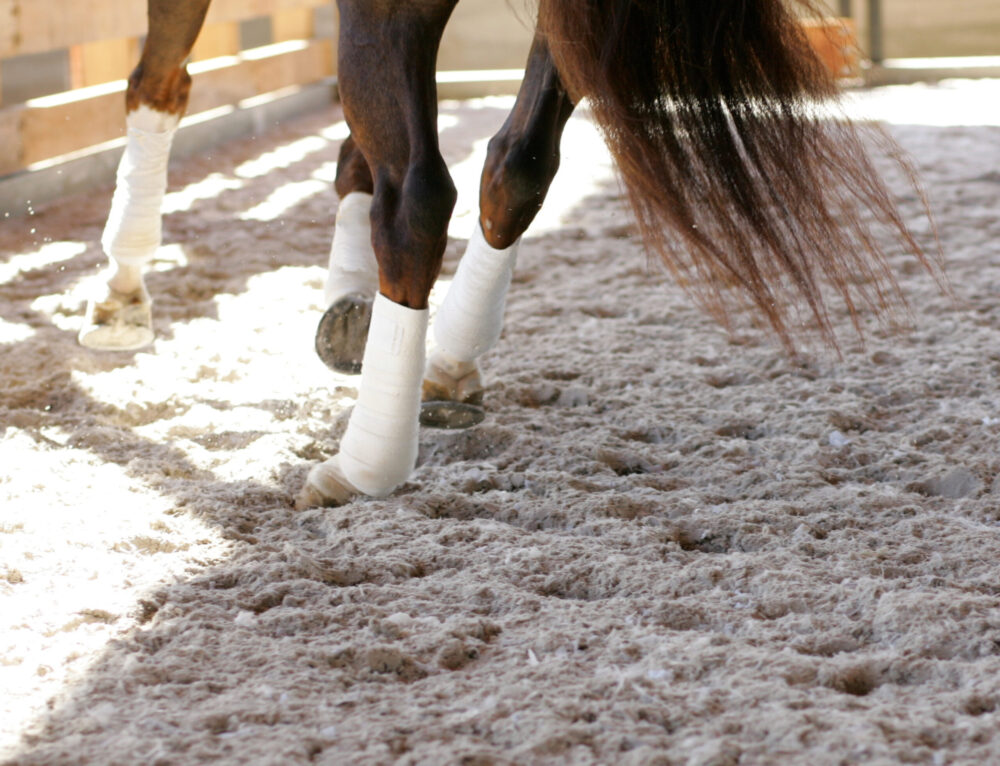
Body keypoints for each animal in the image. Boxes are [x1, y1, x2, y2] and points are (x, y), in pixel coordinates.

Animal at [78, 0, 933, 509]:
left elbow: (158, 80)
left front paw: (121, 292)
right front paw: (346, 304)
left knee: (420, 196)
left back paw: (364, 467)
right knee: (516, 164)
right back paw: (446, 363)